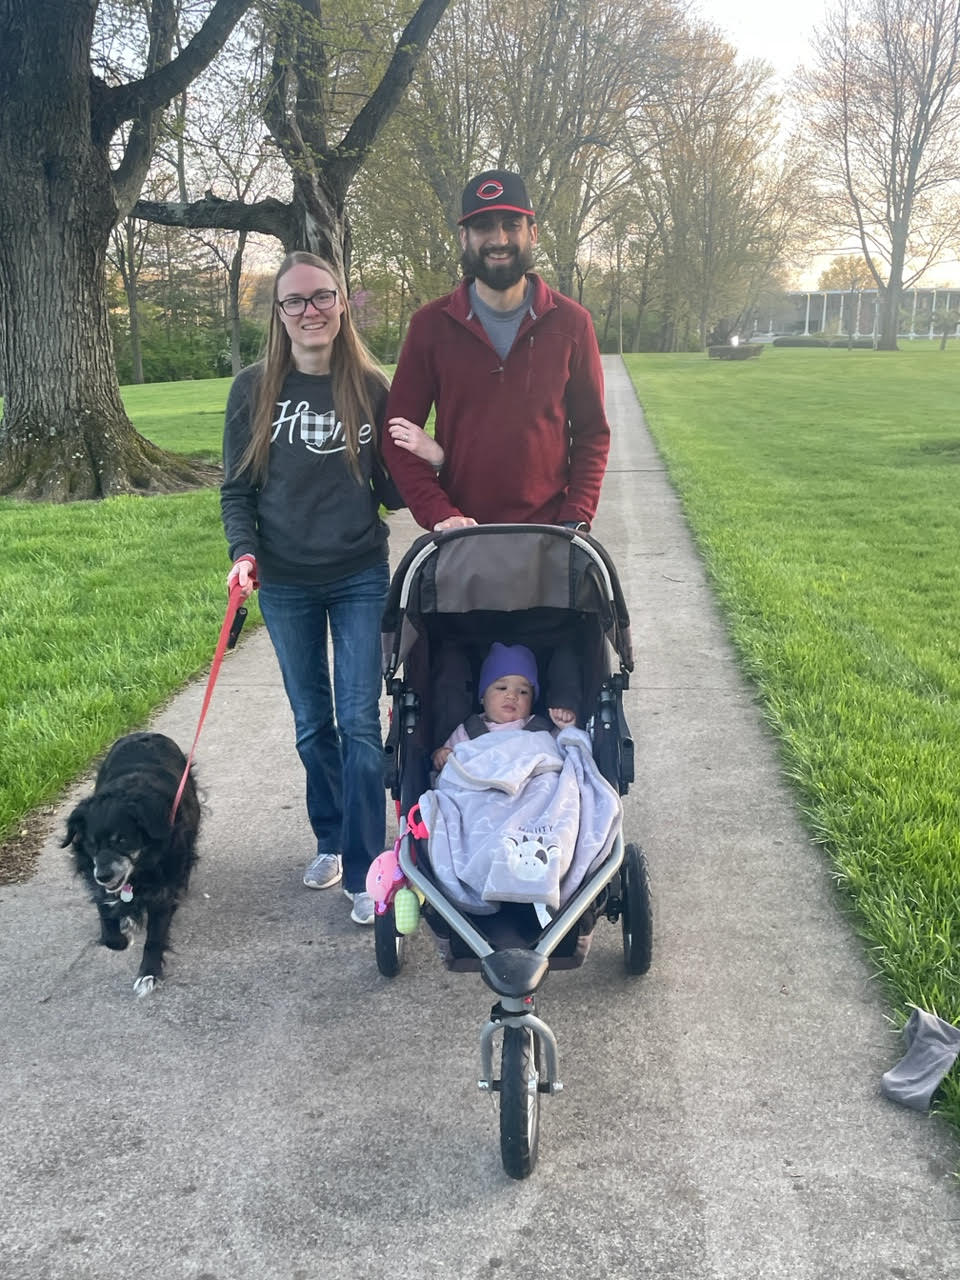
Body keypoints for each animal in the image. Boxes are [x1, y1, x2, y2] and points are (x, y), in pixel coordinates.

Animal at [62, 737, 200, 993]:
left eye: (122, 840)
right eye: (91, 844)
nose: (103, 875)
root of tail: (146, 733)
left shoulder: (163, 889)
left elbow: (155, 936)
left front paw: (149, 973)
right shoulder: (98, 883)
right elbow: (107, 923)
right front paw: (119, 937)